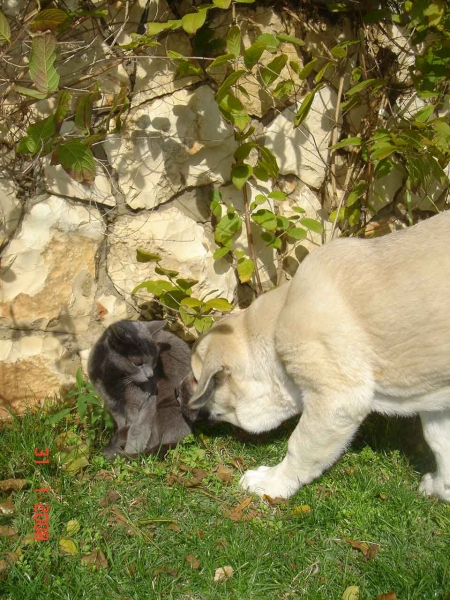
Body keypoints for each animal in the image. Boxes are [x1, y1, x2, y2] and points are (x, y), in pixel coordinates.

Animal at [89, 322, 198, 458]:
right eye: (137, 363)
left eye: (155, 360)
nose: (151, 375)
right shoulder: (112, 405)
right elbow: (122, 423)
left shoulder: (145, 401)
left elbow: (137, 429)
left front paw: (130, 452)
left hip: (170, 408)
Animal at [179, 212, 450, 502]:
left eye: (196, 379)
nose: (175, 392)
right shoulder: (437, 401)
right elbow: (439, 442)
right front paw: (441, 488)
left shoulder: (337, 400)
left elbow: (300, 447)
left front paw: (272, 482)